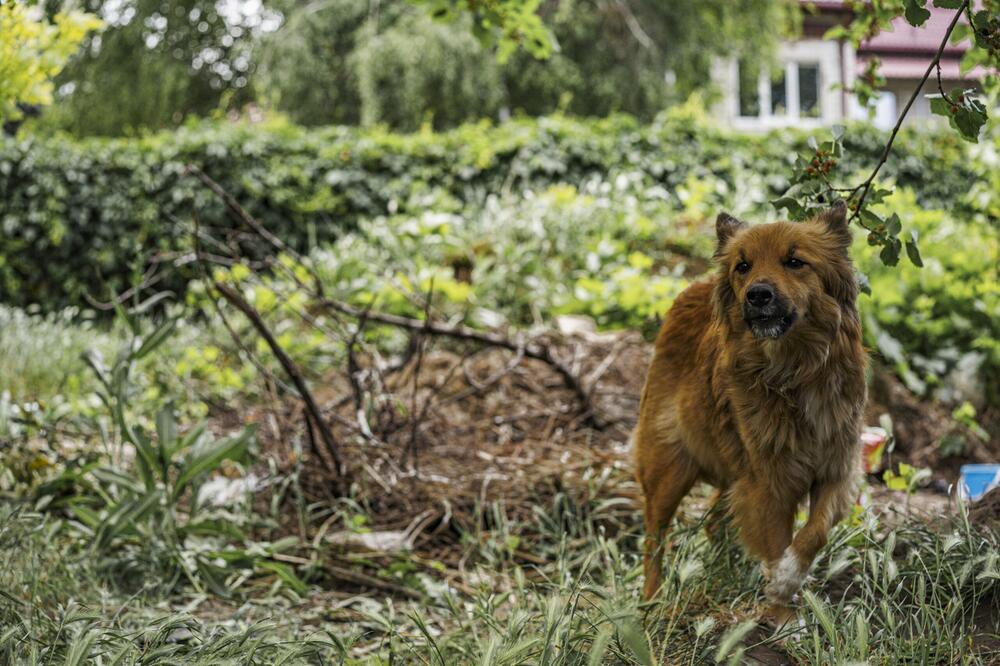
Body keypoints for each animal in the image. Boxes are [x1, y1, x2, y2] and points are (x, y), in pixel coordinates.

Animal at [636, 201, 864, 612]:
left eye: (794, 261)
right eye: (743, 266)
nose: (757, 295)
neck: (793, 373)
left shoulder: (836, 468)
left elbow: (815, 532)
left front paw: (788, 577)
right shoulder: (768, 482)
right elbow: (776, 544)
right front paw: (782, 606)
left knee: (714, 519)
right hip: (668, 469)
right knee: (653, 537)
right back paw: (654, 601)